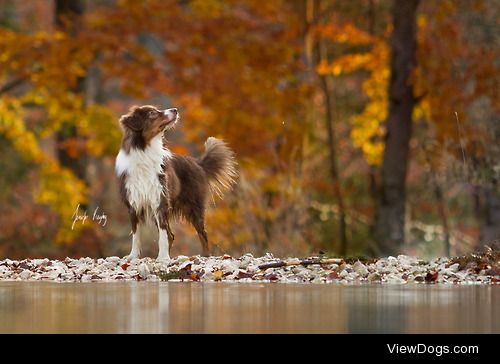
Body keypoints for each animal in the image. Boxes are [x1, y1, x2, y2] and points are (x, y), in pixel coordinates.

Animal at [115, 105, 238, 262]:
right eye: (152, 113)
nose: (175, 110)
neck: (145, 150)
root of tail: (198, 163)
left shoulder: (160, 201)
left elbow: (162, 236)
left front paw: (163, 257)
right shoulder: (133, 204)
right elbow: (136, 235)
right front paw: (133, 256)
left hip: (194, 207)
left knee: (202, 233)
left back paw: (205, 255)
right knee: (172, 235)